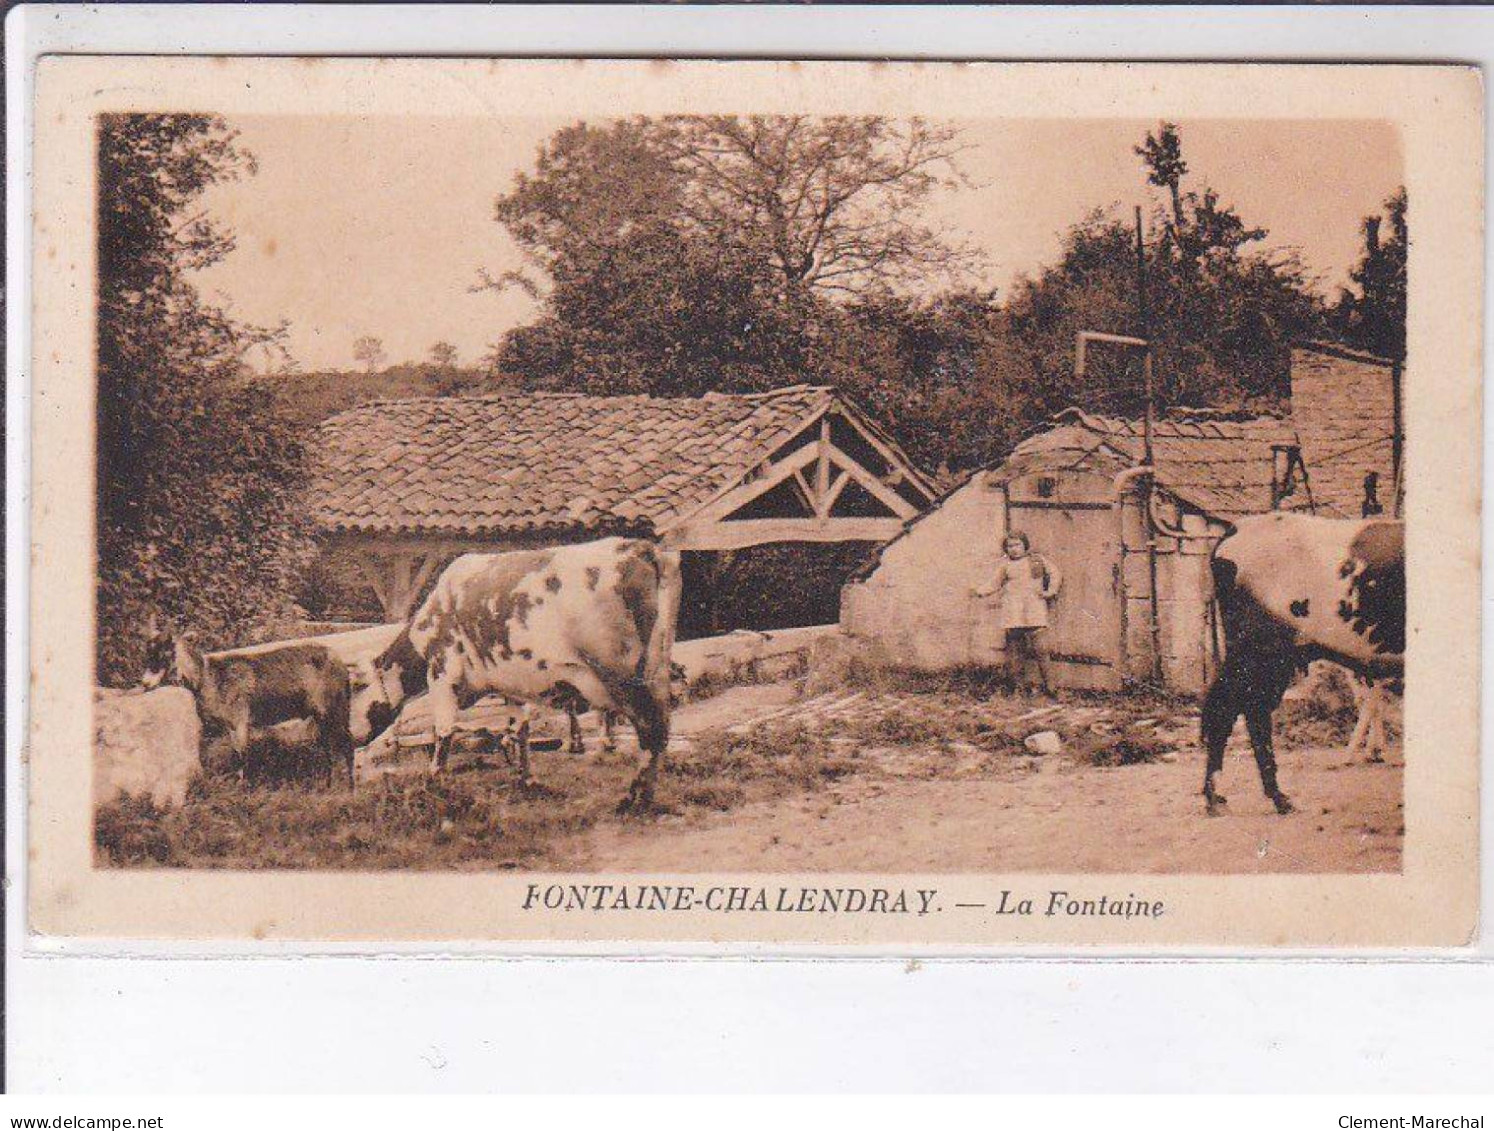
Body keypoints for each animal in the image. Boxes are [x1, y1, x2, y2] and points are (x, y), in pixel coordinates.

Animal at [173, 636, 357, 782]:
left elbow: (241, 755)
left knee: (347, 743)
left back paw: (349, 788)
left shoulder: (240, 721)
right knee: (329, 748)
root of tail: (342, 665)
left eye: (183, 650)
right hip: (322, 716)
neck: (209, 680)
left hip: (334, 709)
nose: (180, 677)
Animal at [361, 537, 684, 812]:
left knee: (649, 727)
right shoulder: (511, 684)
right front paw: (527, 781)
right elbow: (520, 730)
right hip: (658, 667)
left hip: (623, 675)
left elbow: (443, 731)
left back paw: (635, 800)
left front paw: (434, 784)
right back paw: (644, 797)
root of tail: (638, 547)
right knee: (661, 727)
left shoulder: (443, 673)